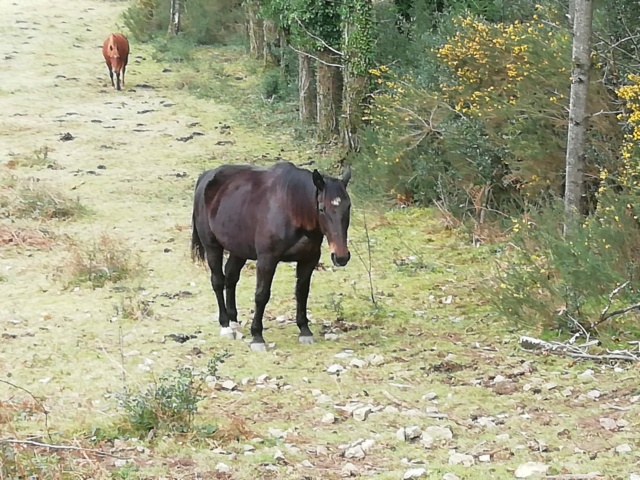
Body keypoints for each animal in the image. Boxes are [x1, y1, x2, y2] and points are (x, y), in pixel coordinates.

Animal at [190, 163, 352, 350]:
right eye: (322, 209)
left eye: (348, 207)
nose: (341, 257)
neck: (290, 209)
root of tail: (206, 177)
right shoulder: (267, 260)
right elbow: (261, 295)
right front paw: (257, 336)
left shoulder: (308, 260)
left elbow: (302, 293)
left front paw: (304, 330)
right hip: (212, 247)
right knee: (217, 281)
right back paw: (225, 326)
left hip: (238, 249)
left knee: (231, 278)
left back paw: (233, 322)